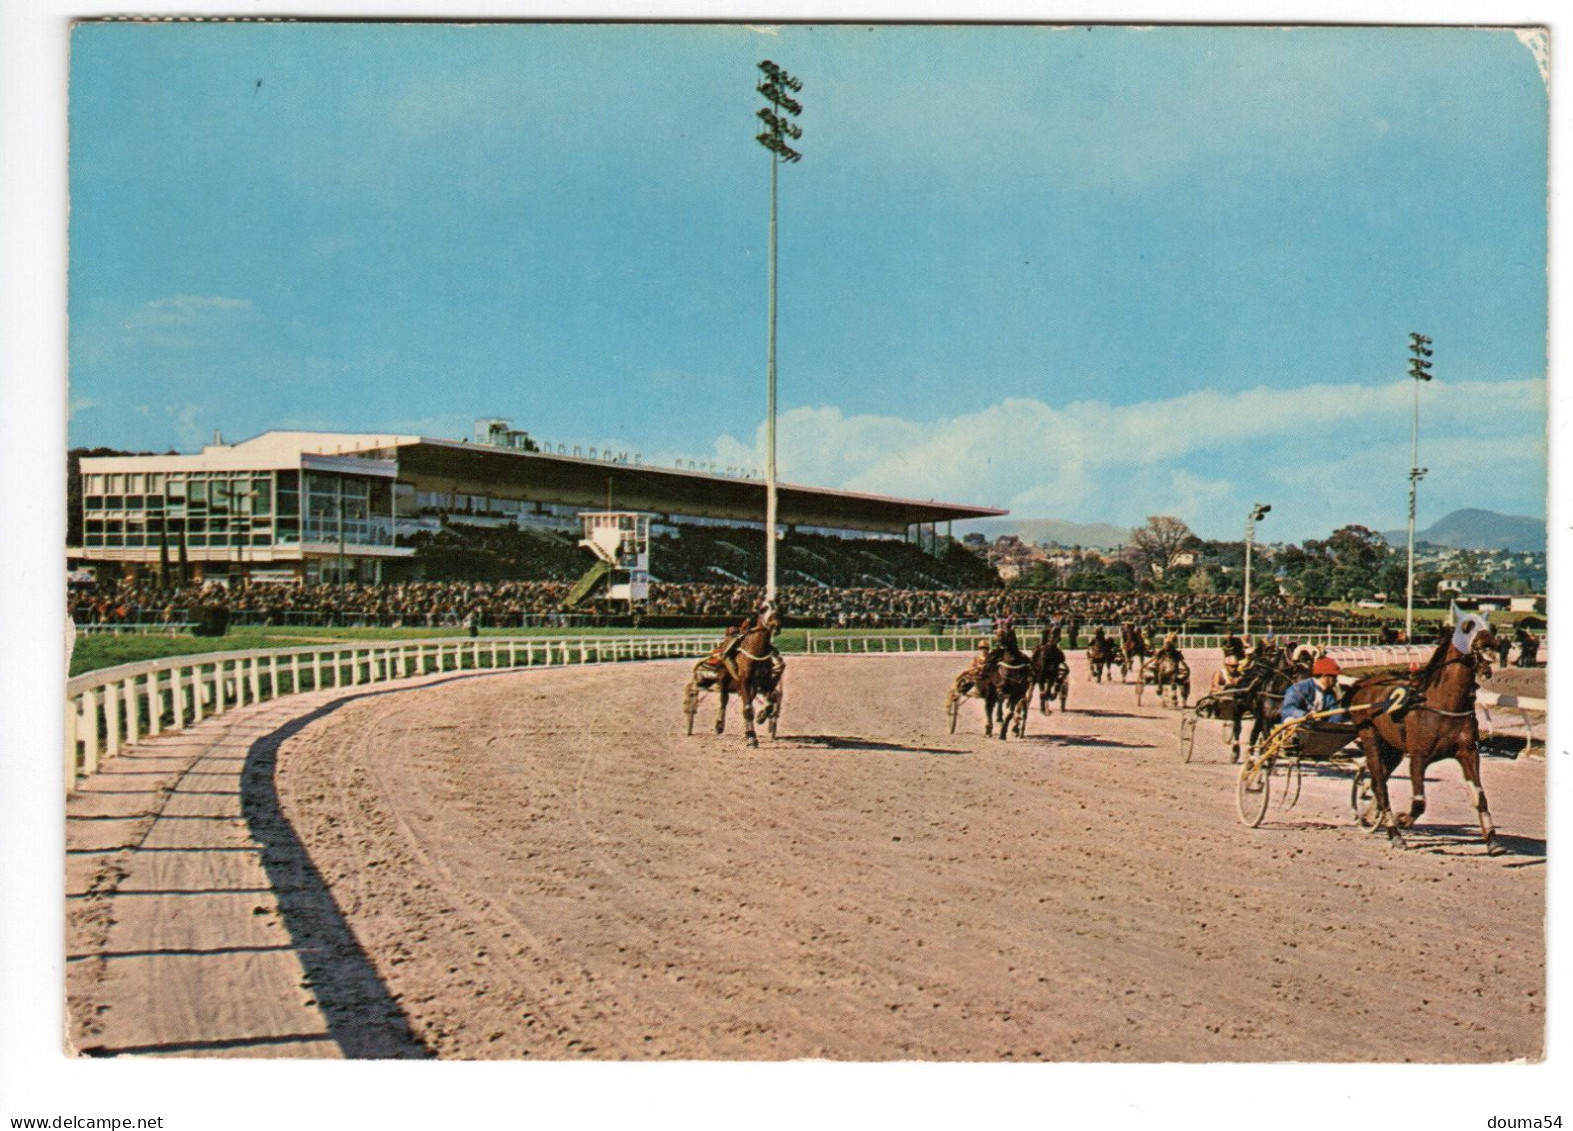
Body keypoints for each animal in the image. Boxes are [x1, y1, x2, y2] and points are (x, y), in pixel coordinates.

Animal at [685, 607, 786, 748]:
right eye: (764, 609)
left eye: (779, 610)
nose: (776, 626)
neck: (756, 652)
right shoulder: (744, 681)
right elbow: (747, 708)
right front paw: (751, 737)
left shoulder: (763, 682)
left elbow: (770, 699)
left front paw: (761, 716)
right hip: (723, 679)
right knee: (723, 700)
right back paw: (719, 724)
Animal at [1340, 613, 1497, 855]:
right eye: (1469, 629)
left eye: (1490, 629)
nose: (1490, 646)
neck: (1443, 703)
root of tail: (1364, 683)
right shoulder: (1418, 756)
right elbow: (1419, 802)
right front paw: (1403, 820)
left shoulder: (1468, 753)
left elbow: (1480, 797)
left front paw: (1492, 840)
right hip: (1370, 737)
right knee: (1380, 785)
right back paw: (1395, 834)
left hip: (1393, 748)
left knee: (1378, 781)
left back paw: (1369, 816)